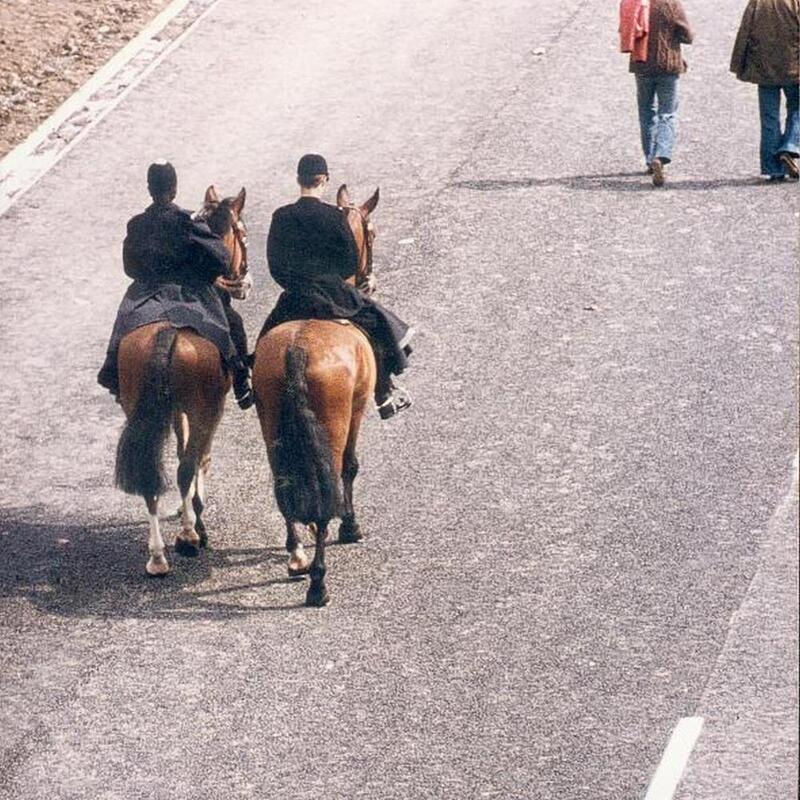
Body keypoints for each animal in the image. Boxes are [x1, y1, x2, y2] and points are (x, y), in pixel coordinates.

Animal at [113, 186, 247, 576]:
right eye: (243, 233)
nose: (243, 282)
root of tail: (168, 330)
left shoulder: (174, 409)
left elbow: (180, 451)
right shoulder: (210, 409)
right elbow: (199, 457)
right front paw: (196, 517)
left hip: (139, 407)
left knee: (150, 475)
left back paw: (157, 555)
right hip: (205, 408)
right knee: (187, 466)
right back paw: (187, 537)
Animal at [255, 183, 380, 608]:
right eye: (372, 234)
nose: (369, 281)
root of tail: (297, 349)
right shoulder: (357, 411)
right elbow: (351, 467)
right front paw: (352, 527)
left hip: (272, 423)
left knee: (283, 483)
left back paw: (296, 557)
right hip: (334, 423)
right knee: (328, 490)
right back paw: (318, 583)